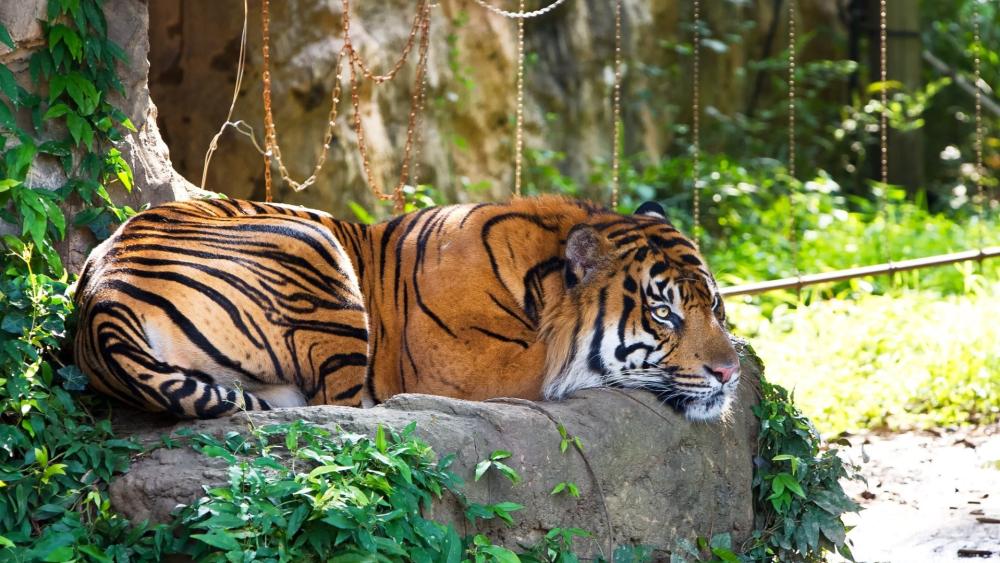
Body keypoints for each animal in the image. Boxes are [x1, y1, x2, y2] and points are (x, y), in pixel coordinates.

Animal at [74, 196, 740, 420]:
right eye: (663, 313)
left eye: (716, 307)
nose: (730, 373)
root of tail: (98, 300)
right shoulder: (489, 375)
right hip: (313, 254)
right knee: (337, 407)